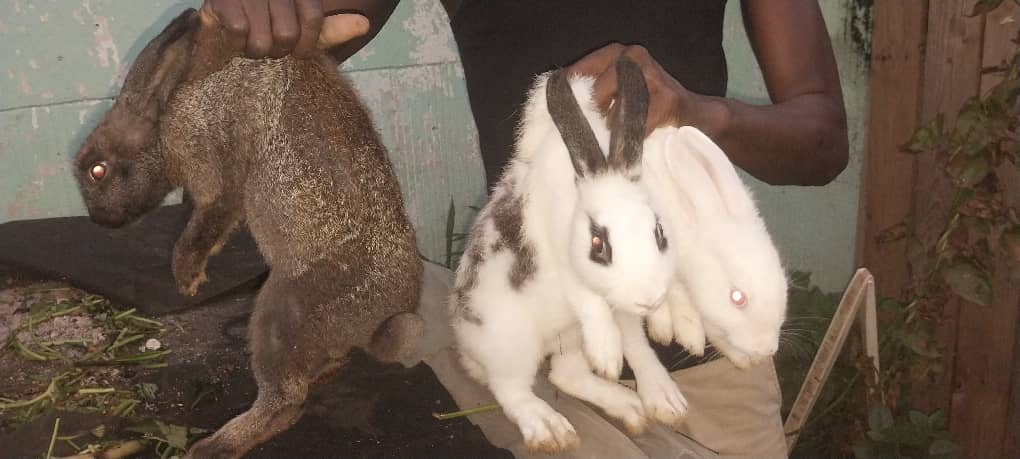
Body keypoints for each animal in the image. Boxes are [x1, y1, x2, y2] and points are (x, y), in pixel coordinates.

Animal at [72, 9, 424, 458]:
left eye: (97, 170)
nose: (100, 219)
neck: (163, 114)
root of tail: (380, 323)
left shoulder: (210, 165)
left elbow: (210, 218)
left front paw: (187, 277)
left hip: (281, 312)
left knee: (286, 404)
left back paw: (212, 447)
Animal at [449, 57, 687, 454]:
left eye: (658, 231)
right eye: (597, 243)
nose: (648, 299)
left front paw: (663, 325)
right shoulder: (565, 261)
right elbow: (586, 297)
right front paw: (607, 356)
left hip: (571, 337)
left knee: (572, 372)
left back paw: (648, 403)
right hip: (510, 342)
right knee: (511, 389)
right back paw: (550, 427)